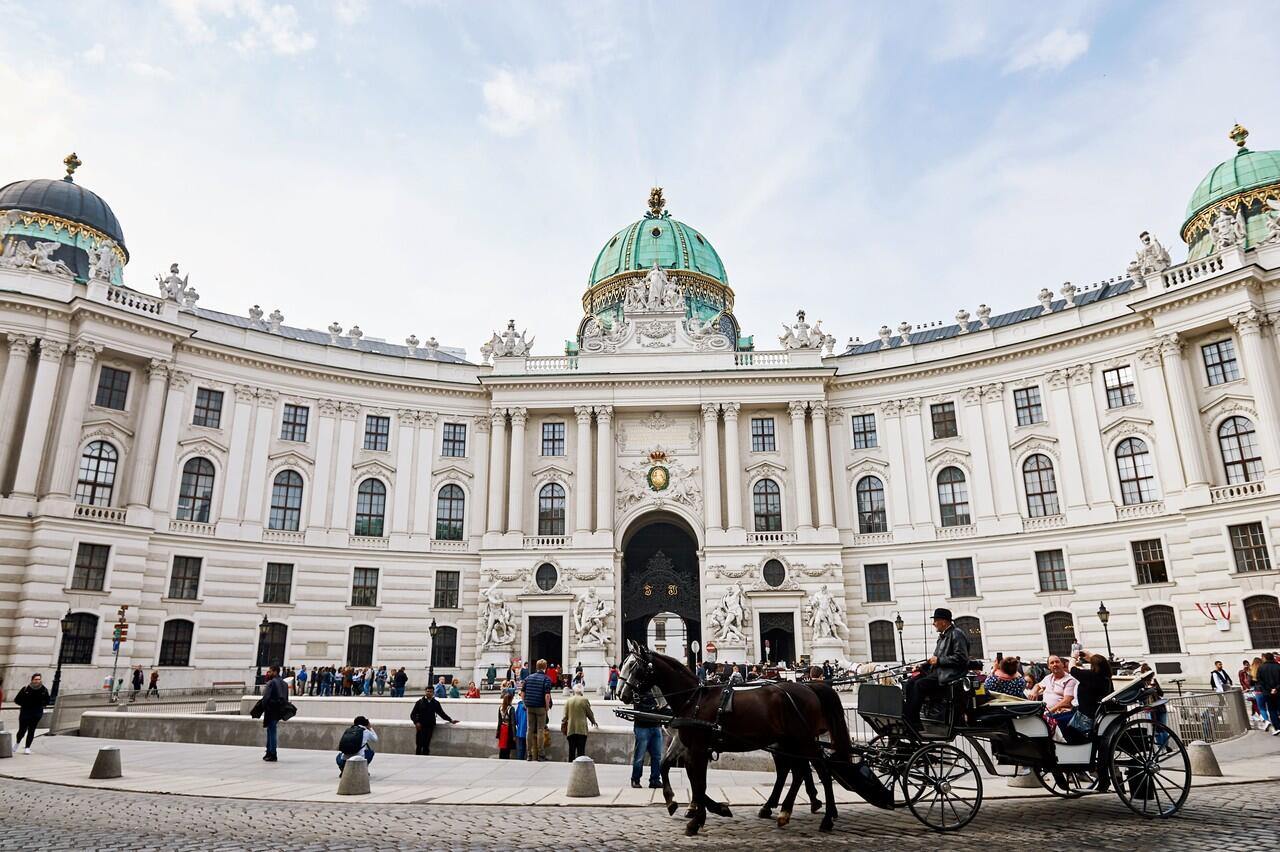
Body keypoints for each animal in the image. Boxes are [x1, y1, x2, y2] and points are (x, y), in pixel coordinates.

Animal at [616, 639, 855, 834]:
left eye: (634, 666)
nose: (621, 694)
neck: (694, 699)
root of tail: (811, 688)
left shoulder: (698, 747)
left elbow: (698, 782)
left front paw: (697, 818)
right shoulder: (686, 744)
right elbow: (674, 770)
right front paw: (682, 804)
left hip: (802, 740)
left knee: (820, 771)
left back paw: (826, 817)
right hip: (788, 741)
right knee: (795, 771)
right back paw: (783, 811)